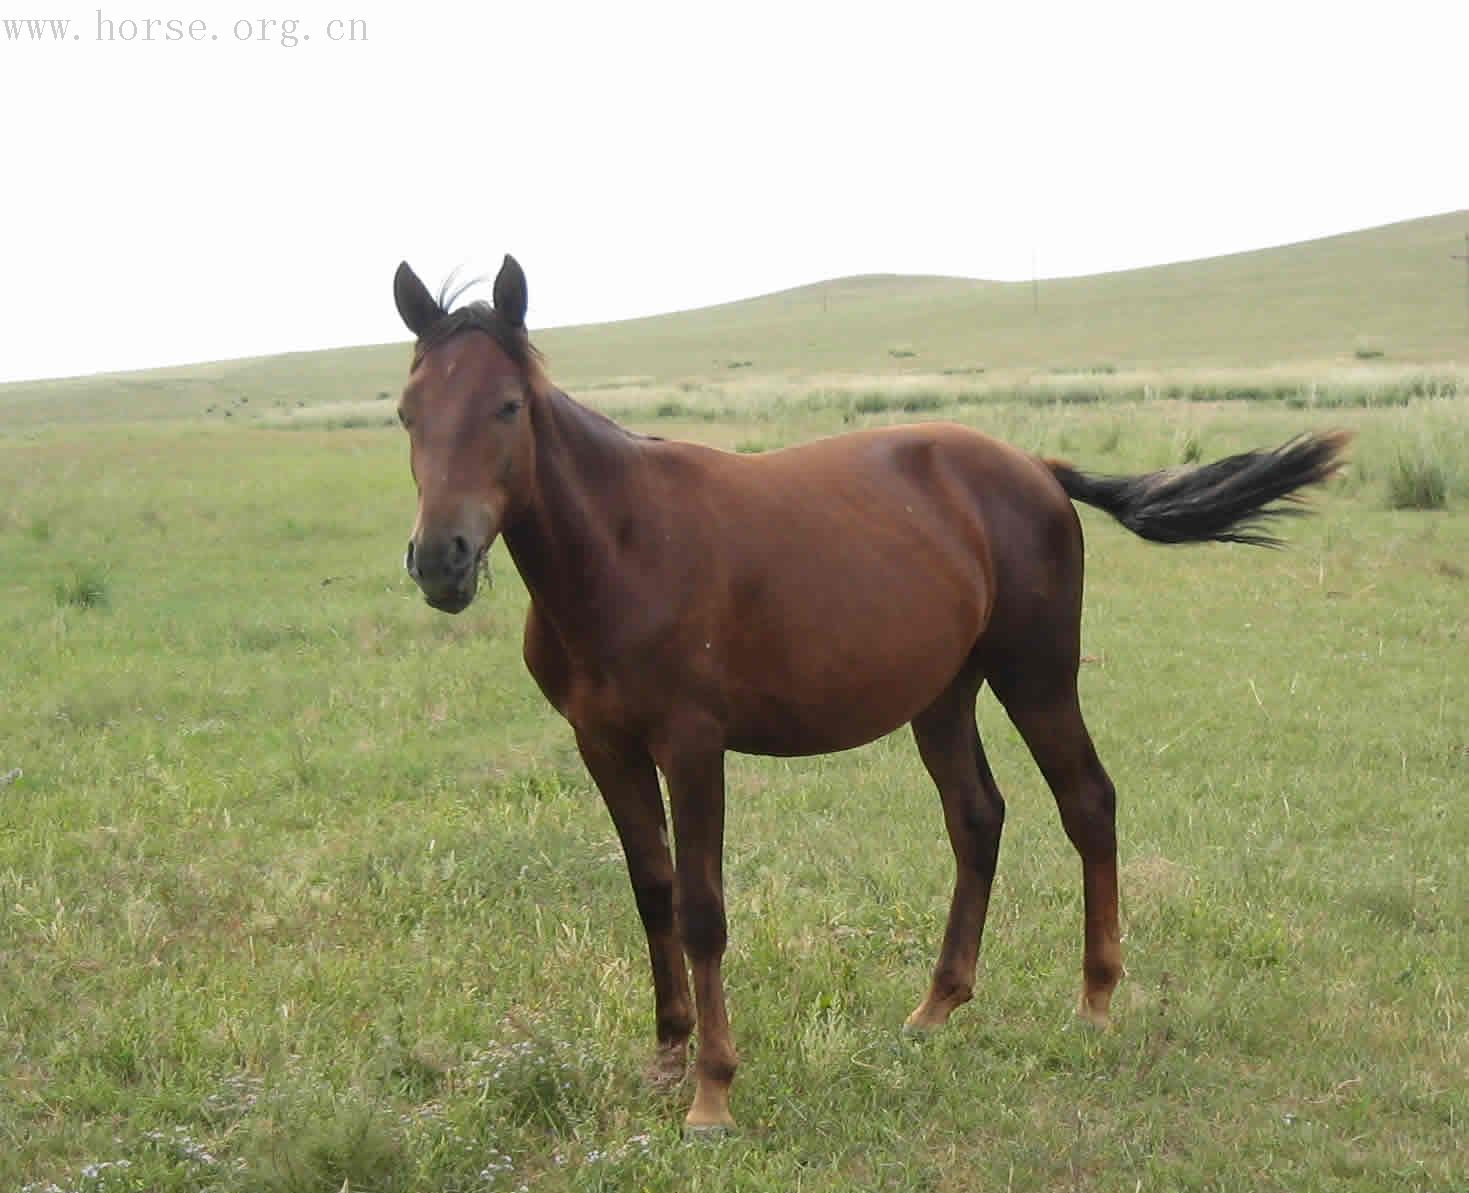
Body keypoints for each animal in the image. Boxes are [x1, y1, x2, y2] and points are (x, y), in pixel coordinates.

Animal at [387, 255, 1345, 1134]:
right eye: (406, 412)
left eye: (508, 406)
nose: (441, 560)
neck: (622, 548)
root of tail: (1034, 467)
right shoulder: (603, 743)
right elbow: (651, 890)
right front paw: (665, 1057)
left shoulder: (691, 746)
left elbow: (701, 909)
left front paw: (713, 1091)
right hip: (944, 694)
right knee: (977, 816)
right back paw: (936, 1005)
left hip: (1035, 675)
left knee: (1087, 801)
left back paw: (1095, 999)